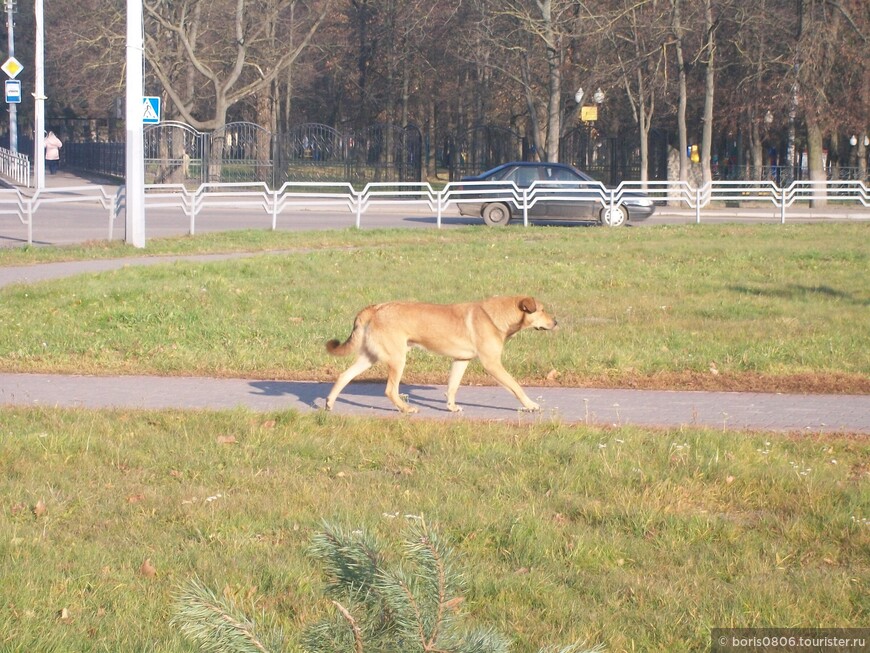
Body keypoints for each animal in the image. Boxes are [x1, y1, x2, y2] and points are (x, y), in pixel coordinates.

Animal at [326, 296, 560, 412]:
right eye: (542, 310)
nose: (556, 322)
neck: (494, 316)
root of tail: (376, 308)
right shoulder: (492, 364)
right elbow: (516, 387)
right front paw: (530, 405)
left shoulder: (461, 360)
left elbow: (452, 387)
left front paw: (451, 407)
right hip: (397, 359)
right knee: (390, 390)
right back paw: (406, 409)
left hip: (371, 357)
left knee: (343, 376)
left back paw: (329, 403)